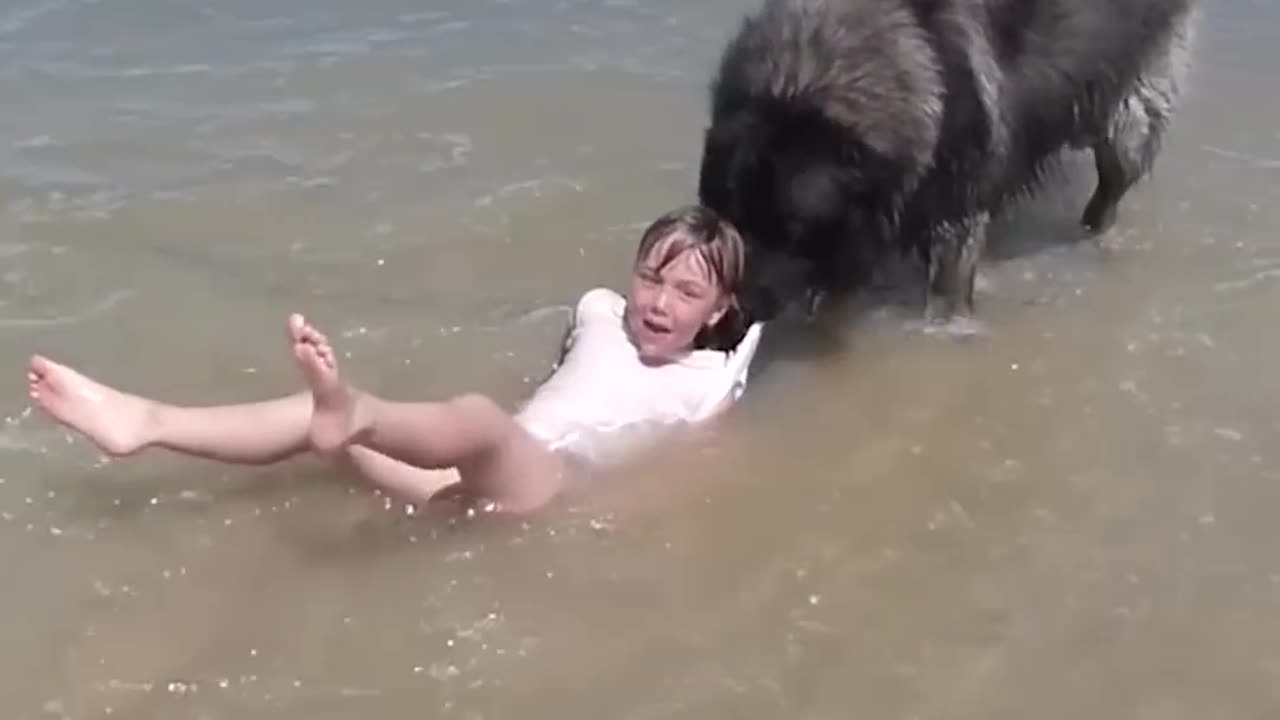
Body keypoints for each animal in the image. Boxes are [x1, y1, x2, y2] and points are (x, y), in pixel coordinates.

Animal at [696, 0, 1192, 322]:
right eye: (733, 220)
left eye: (794, 233)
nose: (736, 313)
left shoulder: (956, 211)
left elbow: (945, 292)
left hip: (1128, 109)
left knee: (1114, 179)